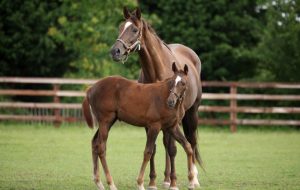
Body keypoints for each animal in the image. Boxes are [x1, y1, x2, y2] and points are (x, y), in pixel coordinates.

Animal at [110, 7, 204, 189]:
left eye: (134, 29)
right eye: (120, 27)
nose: (115, 51)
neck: (157, 72)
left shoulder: (173, 120)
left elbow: (173, 148)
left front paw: (174, 182)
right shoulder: (150, 121)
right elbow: (153, 149)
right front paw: (153, 181)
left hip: (192, 113)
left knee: (190, 141)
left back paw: (193, 178)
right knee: (167, 143)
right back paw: (166, 178)